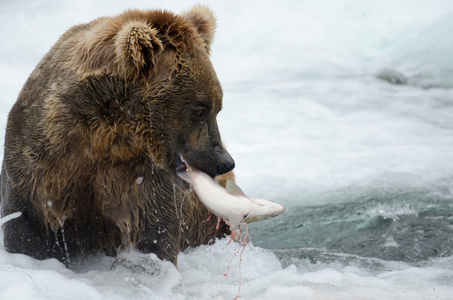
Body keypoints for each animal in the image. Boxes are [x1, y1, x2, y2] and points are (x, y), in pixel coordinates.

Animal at [0, 5, 233, 266]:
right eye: (200, 109)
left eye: (217, 107)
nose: (225, 162)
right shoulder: (38, 168)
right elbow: (25, 231)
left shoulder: (139, 177)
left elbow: (154, 233)